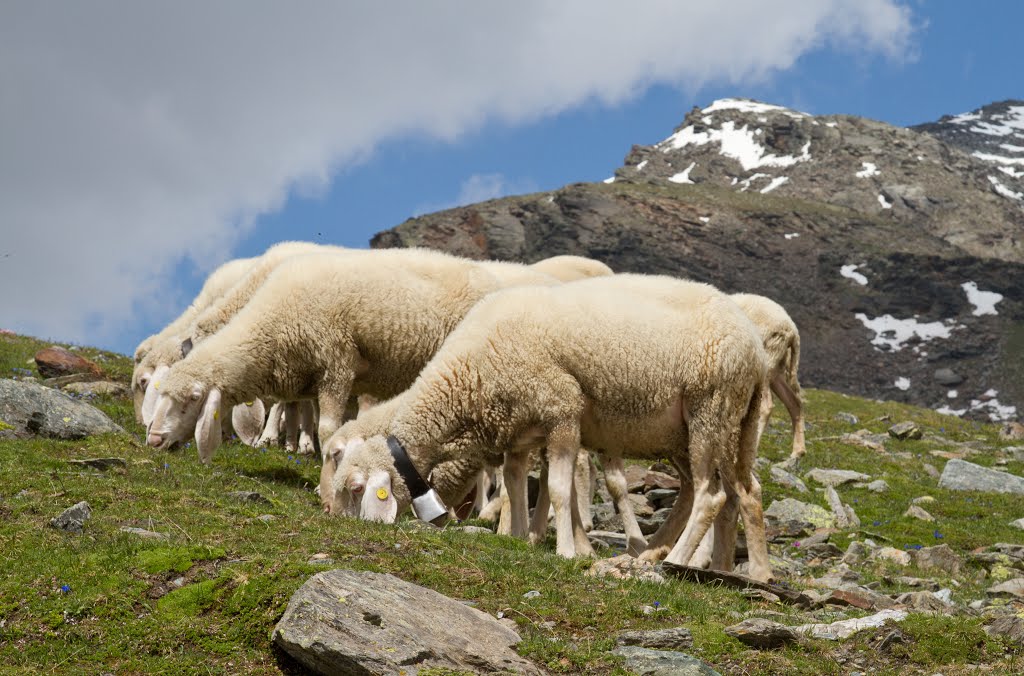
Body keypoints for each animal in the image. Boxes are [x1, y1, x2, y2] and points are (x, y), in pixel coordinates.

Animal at [144, 247, 561, 465]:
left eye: (191, 400)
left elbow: (328, 426)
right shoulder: (302, 376)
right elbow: (295, 409)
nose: (154, 440)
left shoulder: (336, 363)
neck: (271, 321)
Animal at [331, 274, 770, 581]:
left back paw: (675, 559)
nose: (335, 521)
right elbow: (514, 484)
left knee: (710, 495)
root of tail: (755, 344)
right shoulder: (518, 430)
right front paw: (516, 538)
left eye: (355, 489)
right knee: (736, 493)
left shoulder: (562, 412)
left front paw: (566, 551)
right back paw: (712, 564)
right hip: (712, 428)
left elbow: (559, 490)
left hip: (710, 410)